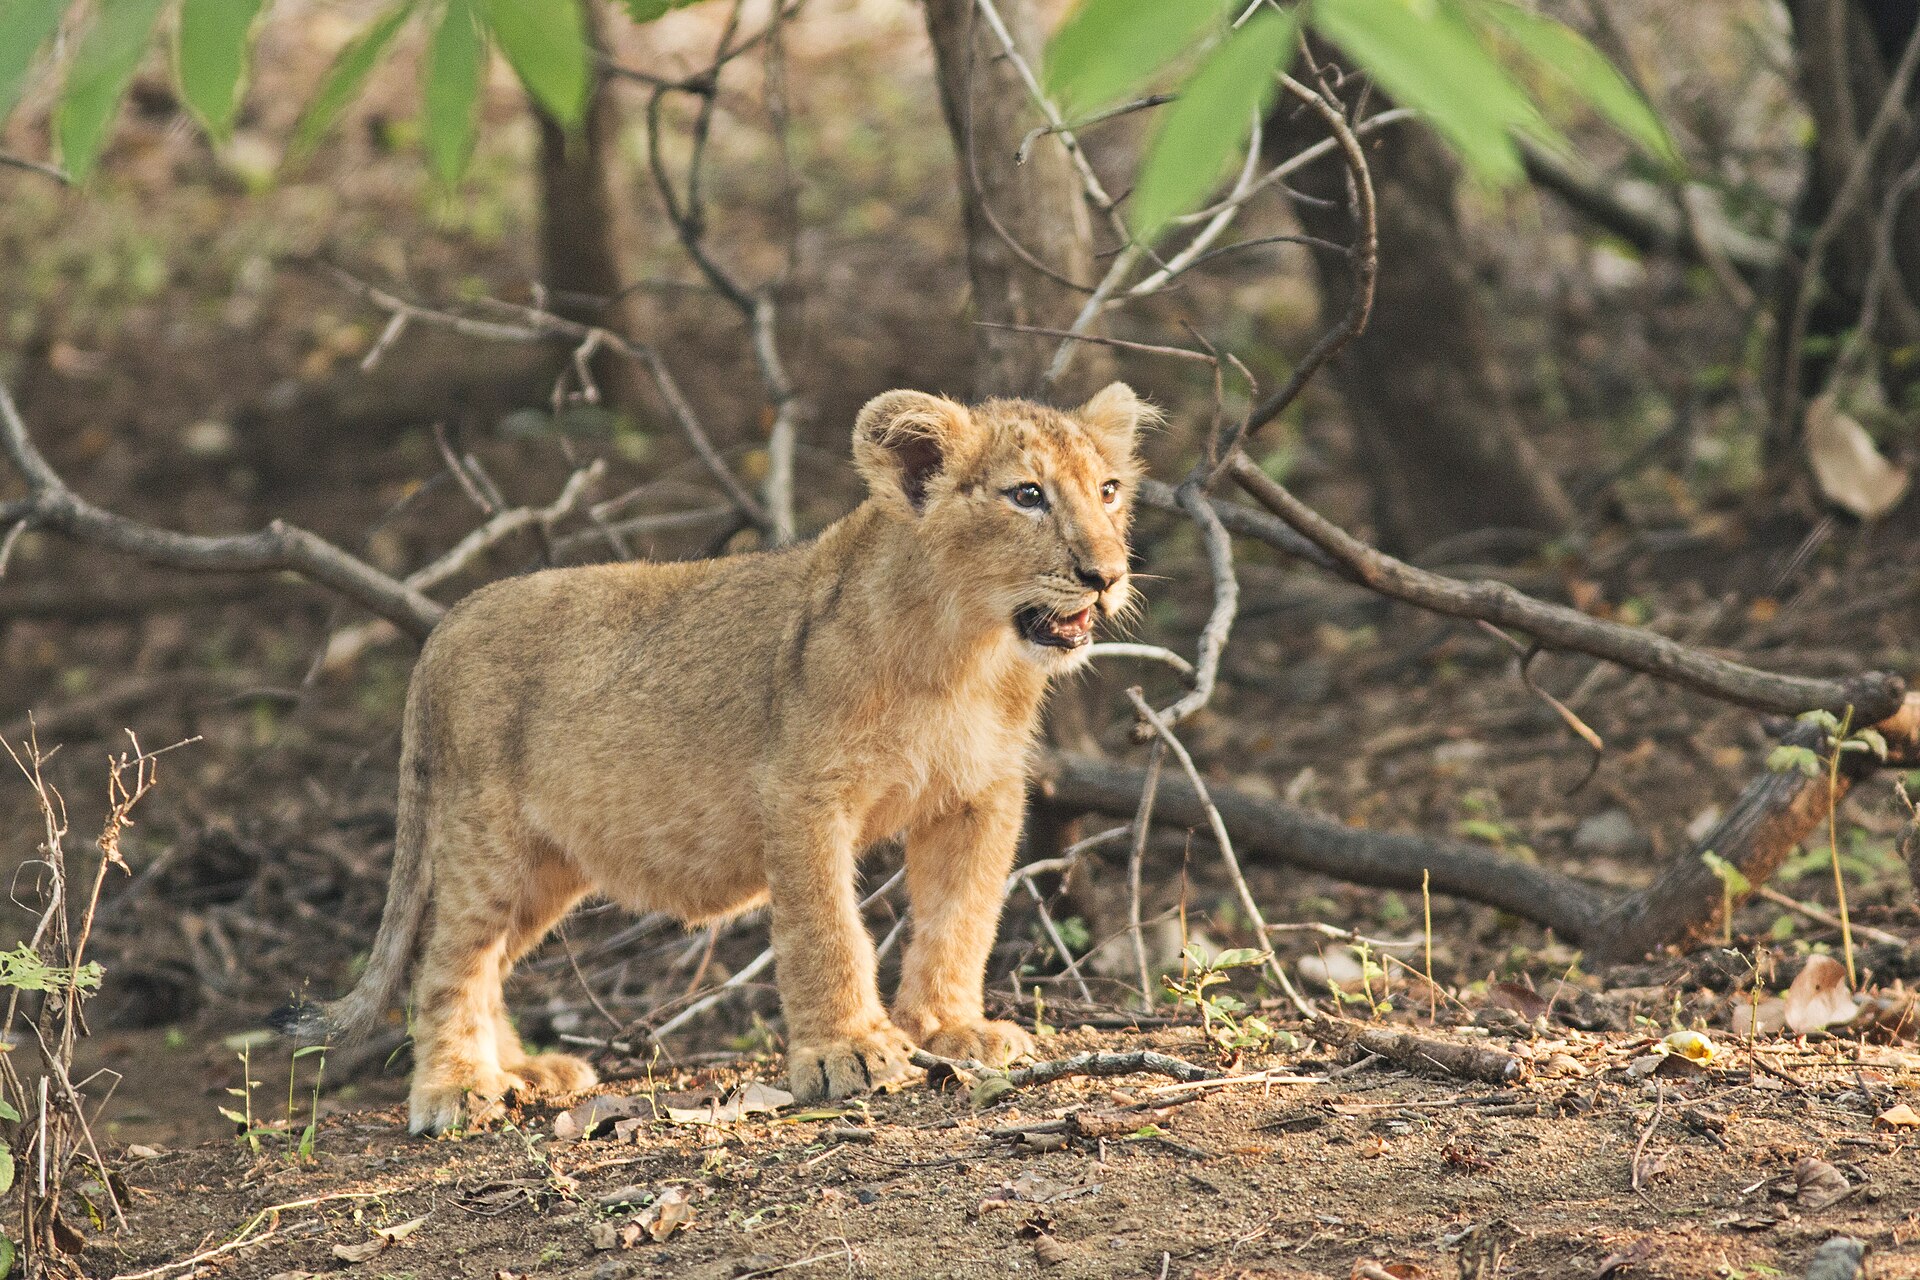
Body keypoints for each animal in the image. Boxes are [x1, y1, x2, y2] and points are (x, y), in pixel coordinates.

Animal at [273, 383, 1148, 1134]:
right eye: (1026, 496)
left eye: (1108, 490)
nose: (1106, 576)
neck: (967, 655)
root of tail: (446, 623)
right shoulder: (800, 789)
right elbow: (826, 927)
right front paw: (849, 1052)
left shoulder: (978, 796)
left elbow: (959, 919)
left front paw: (950, 1027)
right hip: (486, 842)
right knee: (444, 960)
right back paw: (458, 1088)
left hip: (547, 867)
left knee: (487, 962)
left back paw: (525, 1071)